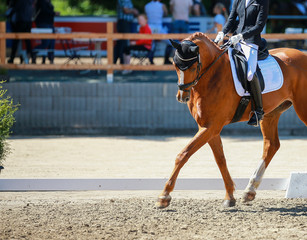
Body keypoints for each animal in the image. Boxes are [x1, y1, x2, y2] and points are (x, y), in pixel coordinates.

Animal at [158, 31, 307, 208]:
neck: (213, 75)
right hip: (270, 114)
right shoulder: (208, 127)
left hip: (302, 108)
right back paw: (249, 191)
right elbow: (220, 159)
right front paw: (229, 196)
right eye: (175, 65)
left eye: (194, 67)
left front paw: (164, 196)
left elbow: (183, 154)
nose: (182, 96)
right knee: (271, 145)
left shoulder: (212, 126)